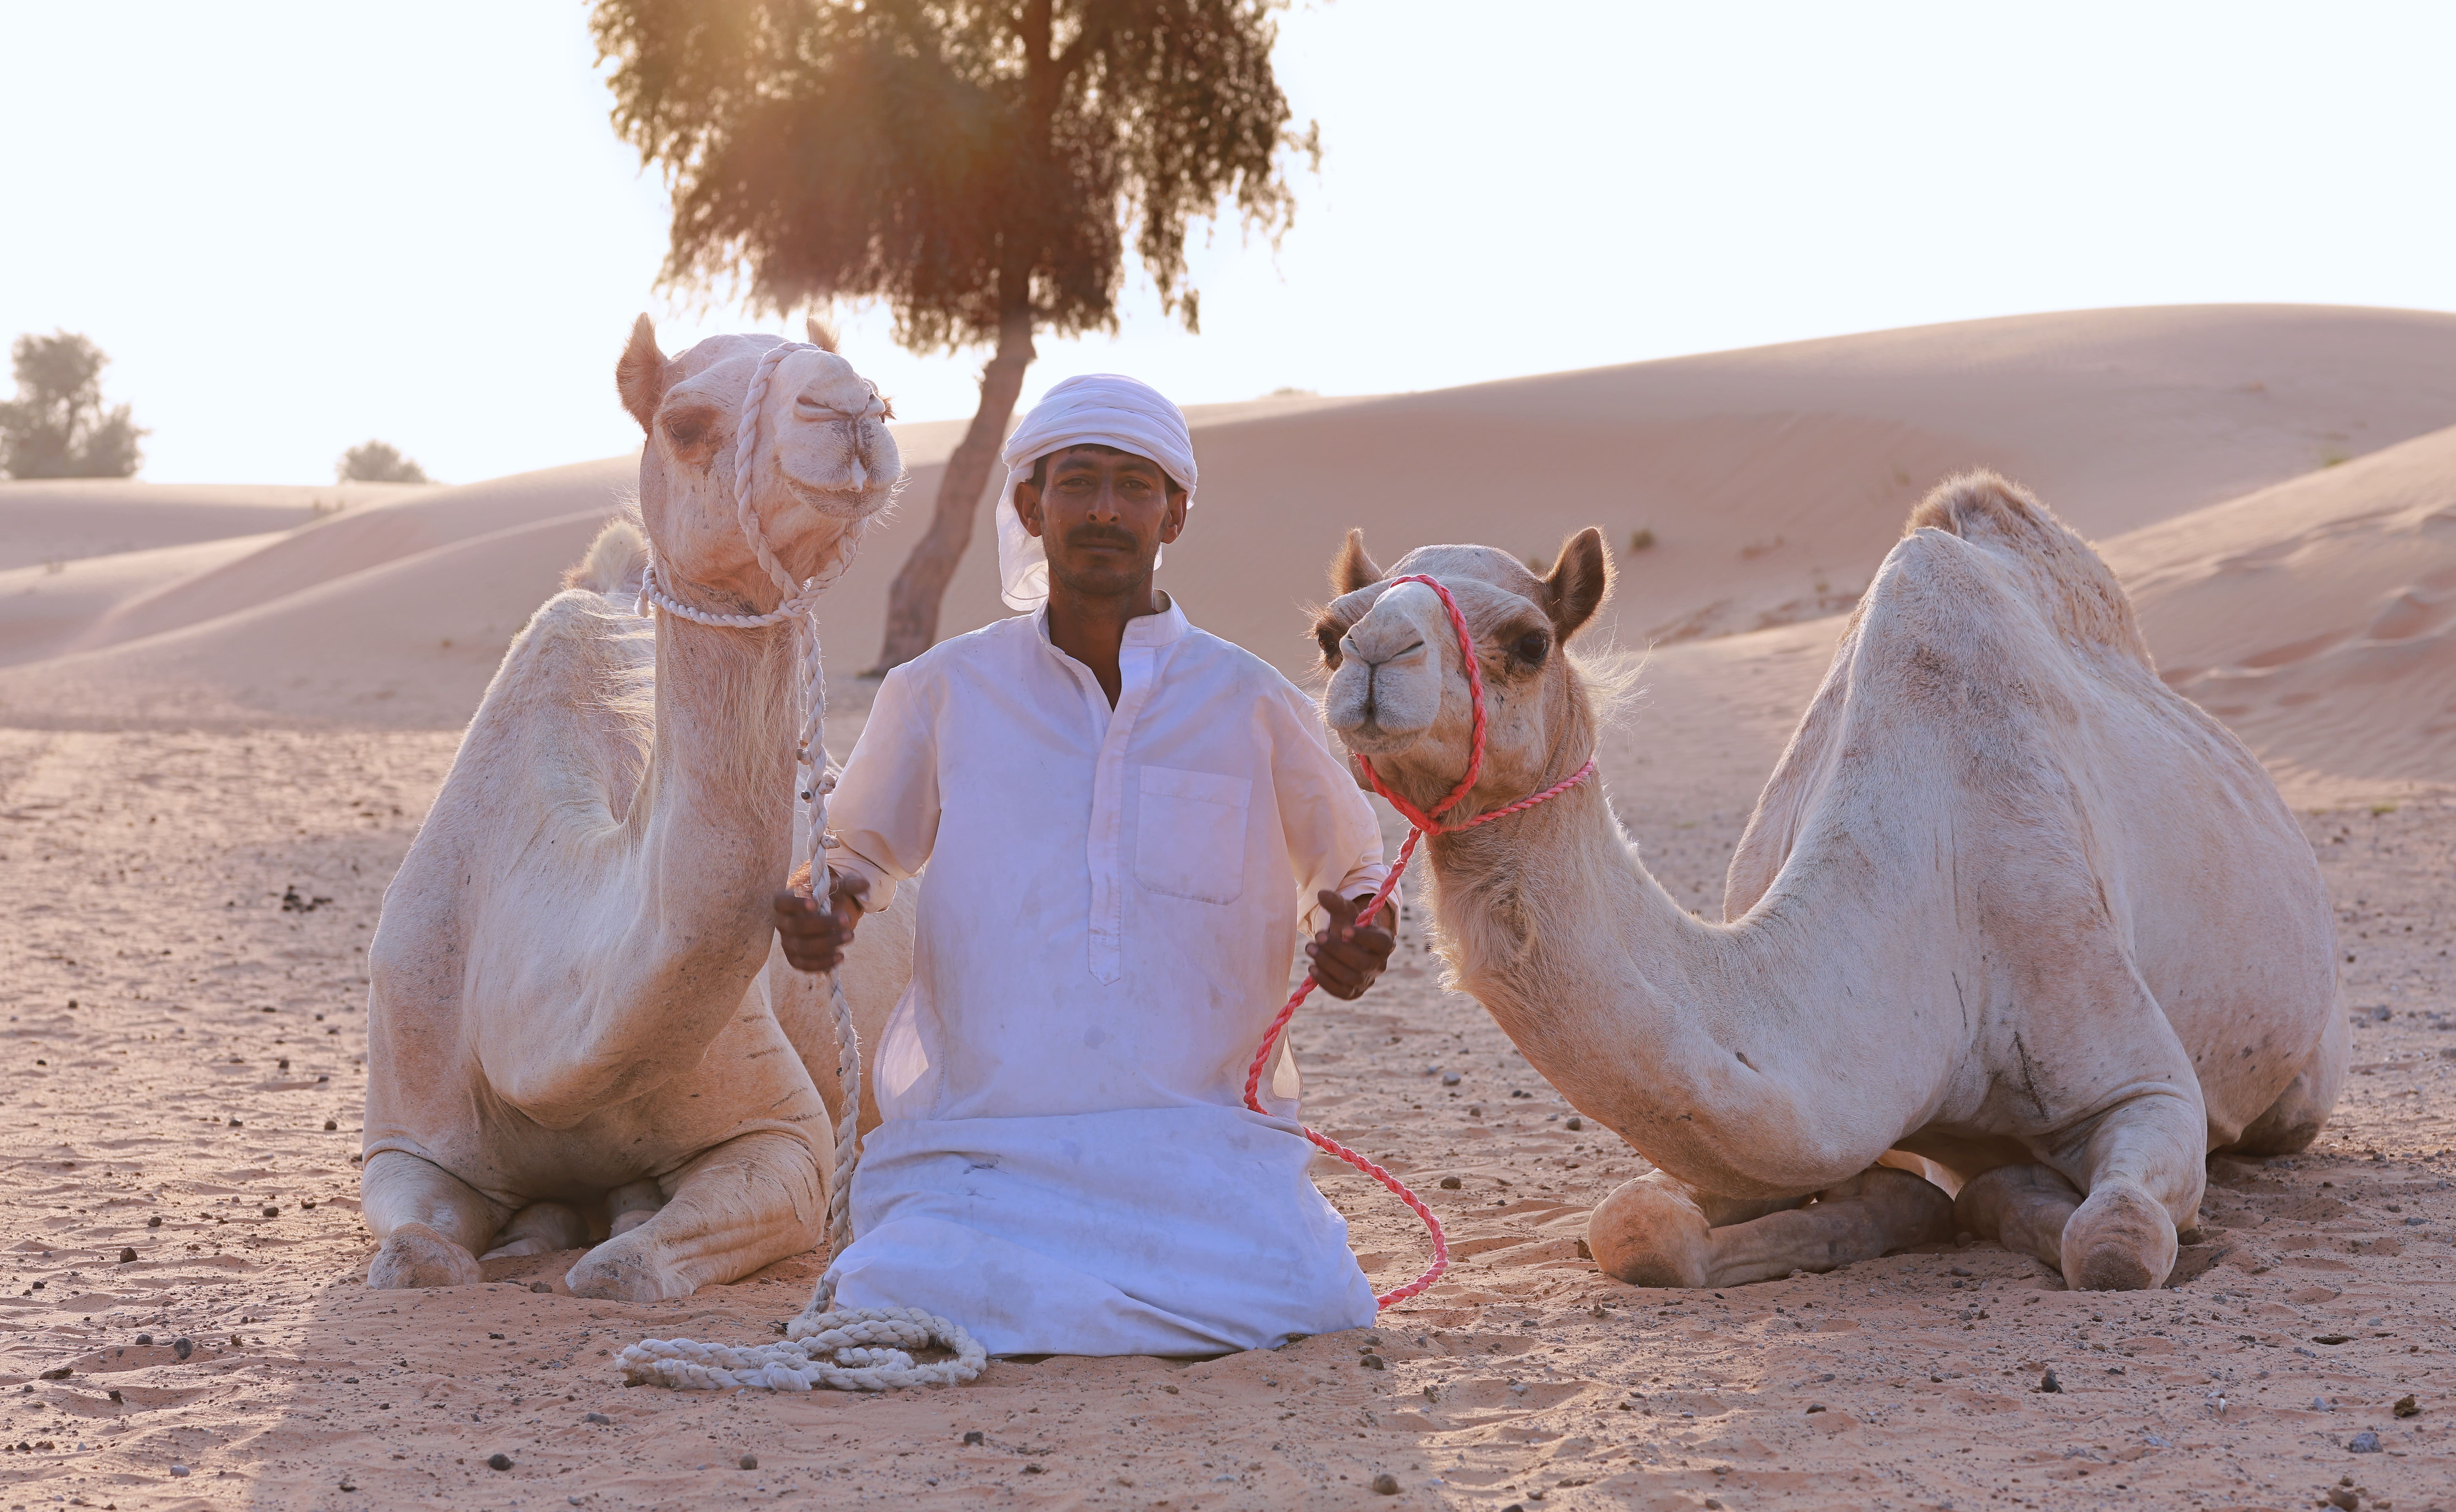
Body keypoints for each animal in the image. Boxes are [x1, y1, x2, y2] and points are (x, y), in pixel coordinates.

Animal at [359, 317, 911, 1301]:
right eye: (685, 422)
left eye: (876, 388)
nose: (852, 408)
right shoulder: (403, 1140)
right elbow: (417, 1253)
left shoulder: (785, 1136)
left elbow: (620, 1270)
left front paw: (609, 1233)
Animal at [1314, 473, 2343, 1292]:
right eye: (1327, 631)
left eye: (1529, 642)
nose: (1371, 655)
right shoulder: (1810, 1112)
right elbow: (1636, 1224)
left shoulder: (2139, 1075)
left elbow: (2115, 1237)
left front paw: (2010, 1188)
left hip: (2305, 1077)